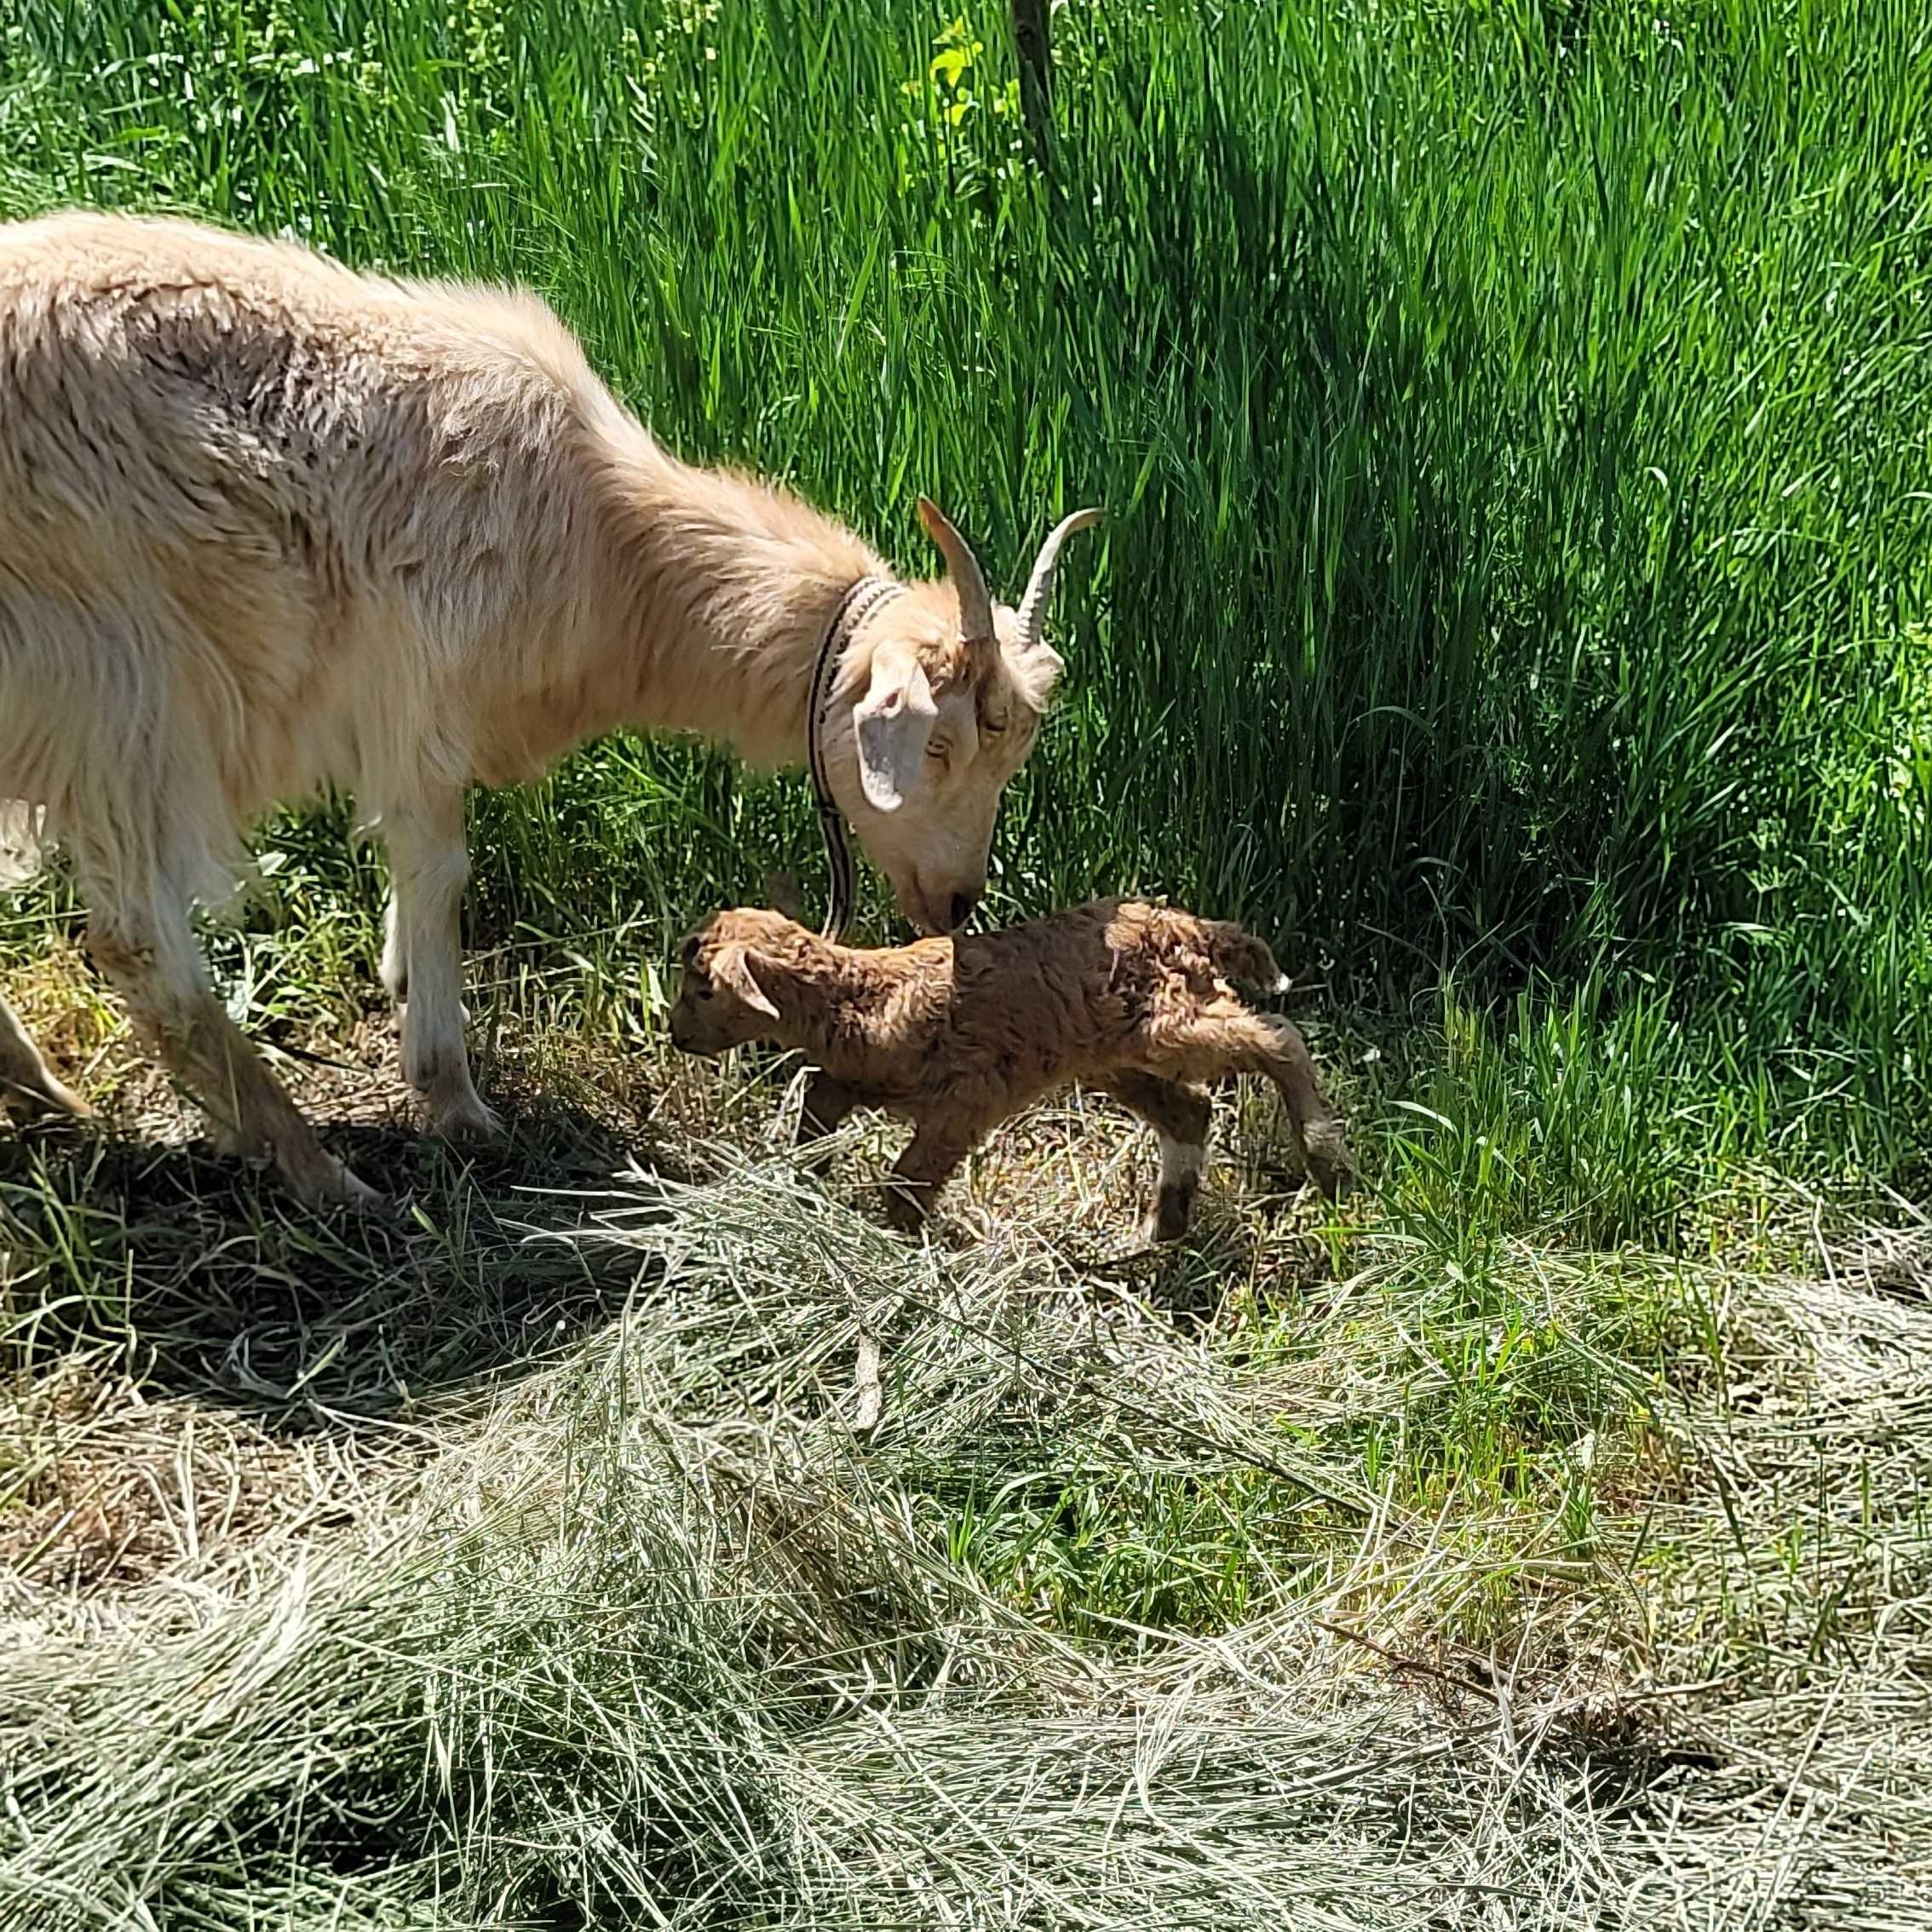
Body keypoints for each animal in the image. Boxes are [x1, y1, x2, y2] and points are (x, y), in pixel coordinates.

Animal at [0, 215, 1097, 1205]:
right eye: (941, 743)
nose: (957, 904)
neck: (614, 550)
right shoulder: (418, 696)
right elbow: (439, 871)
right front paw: (451, 1094)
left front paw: (404, 988)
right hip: (125, 688)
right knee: (139, 945)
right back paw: (320, 1174)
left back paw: (49, 1098)